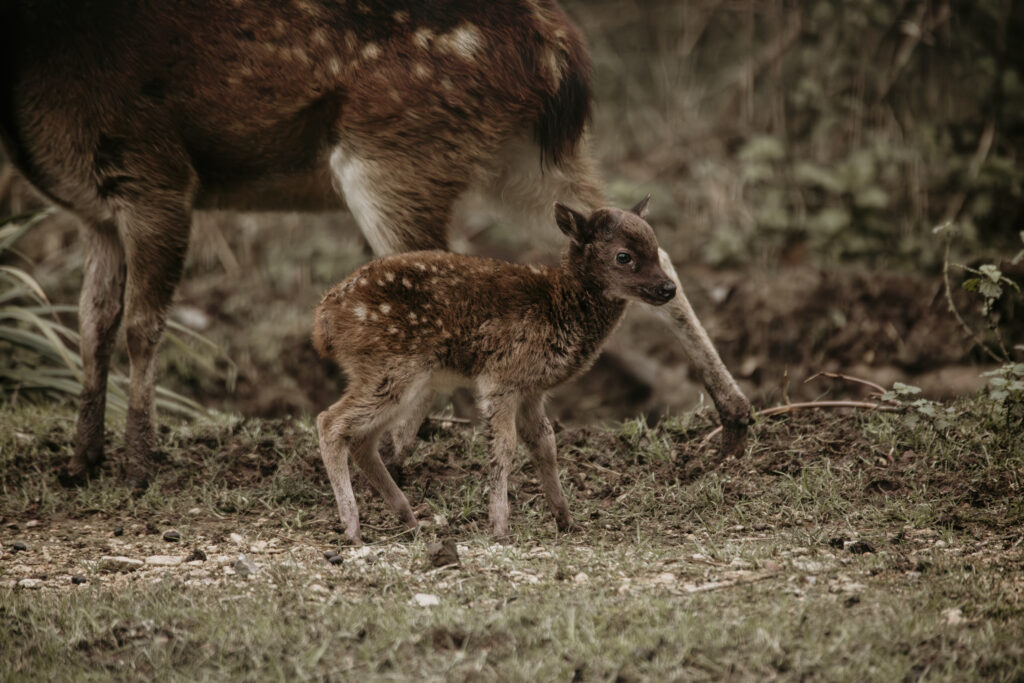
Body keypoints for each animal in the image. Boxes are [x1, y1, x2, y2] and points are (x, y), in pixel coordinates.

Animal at [0, 1, 751, 488]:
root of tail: (558, 46)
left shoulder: (154, 175)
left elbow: (141, 323)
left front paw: (136, 467)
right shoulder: (94, 212)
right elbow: (90, 320)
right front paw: (79, 461)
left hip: (395, 151)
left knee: (436, 272)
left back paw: (390, 450)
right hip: (526, 154)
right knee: (640, 233)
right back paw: (735, 417)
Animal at [313, 198, 677, 541]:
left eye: (656, 248)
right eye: (623, 256)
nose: (668, 288)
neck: (562, 305)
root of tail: (323, 324)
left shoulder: (532, 390)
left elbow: (546, 444)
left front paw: (565, 520)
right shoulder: (501, 378)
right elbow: (505, 445)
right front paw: (500, 525)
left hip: (403, 378)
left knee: (362, 439)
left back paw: (409, 519)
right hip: (391, 368)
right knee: (330, 421)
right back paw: (353, 527)